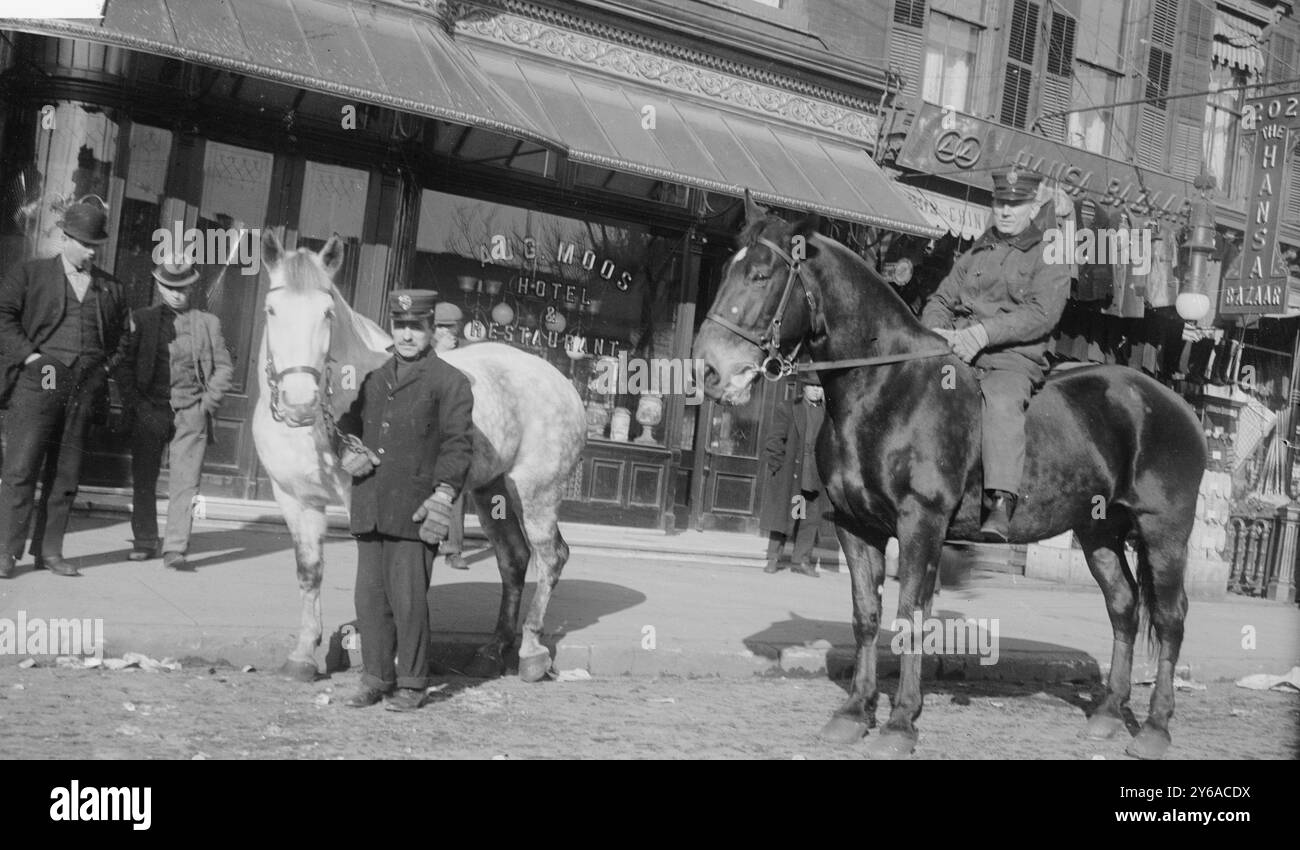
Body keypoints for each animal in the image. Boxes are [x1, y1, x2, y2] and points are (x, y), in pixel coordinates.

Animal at [252, 231, 585, 686]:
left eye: (327, 312)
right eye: (272, 309)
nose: (299, 402)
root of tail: (563, 384)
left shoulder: (364, 501)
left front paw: (384, 656)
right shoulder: (294, 499)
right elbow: (309, 572)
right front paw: (304, 654)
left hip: (537, 492)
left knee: (550, 556)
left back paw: (531, 651)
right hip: (491, 490)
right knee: (514, 559)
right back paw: (492, 651)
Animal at [696, 196, 1211, 764]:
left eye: (761, 274)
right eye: (727, 269)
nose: (709, 369)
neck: (886, 385)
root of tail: (1176, 405)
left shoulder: (921, 523)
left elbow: (909, 615)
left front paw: (901, 721)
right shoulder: (856, 526)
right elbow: (866, 615)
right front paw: (854, 712)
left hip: (1164, 533)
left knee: (1170, 617)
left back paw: (1155, 726)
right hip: (1098, 531)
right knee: (1123, 606)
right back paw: (1108, 712)